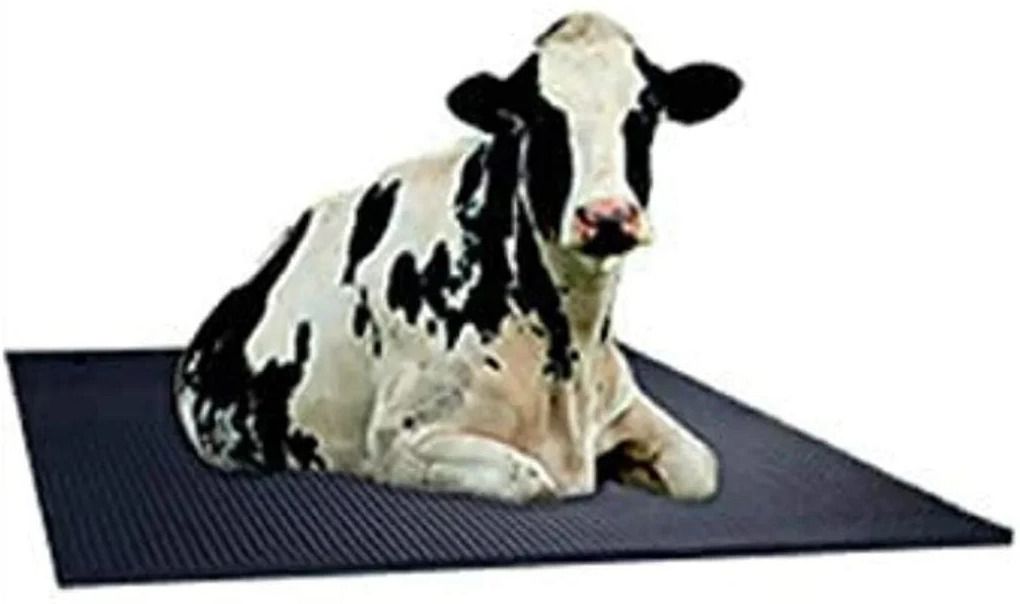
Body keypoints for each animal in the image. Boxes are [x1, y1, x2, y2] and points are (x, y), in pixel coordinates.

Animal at [173, 12, 741, 503]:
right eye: (539, 113)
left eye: (647, 109)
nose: (607, 216)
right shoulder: (401, 442)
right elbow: (533, 482)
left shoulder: (621, 404)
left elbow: (702, 468)